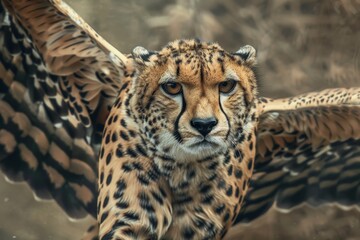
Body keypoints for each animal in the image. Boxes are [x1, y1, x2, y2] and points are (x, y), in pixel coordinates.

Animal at [0, 0, 360, 240]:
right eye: (171, 87)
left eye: (226, 86)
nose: (204, 126)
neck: (182, 165)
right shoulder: (133, 217)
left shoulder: (200, 226)